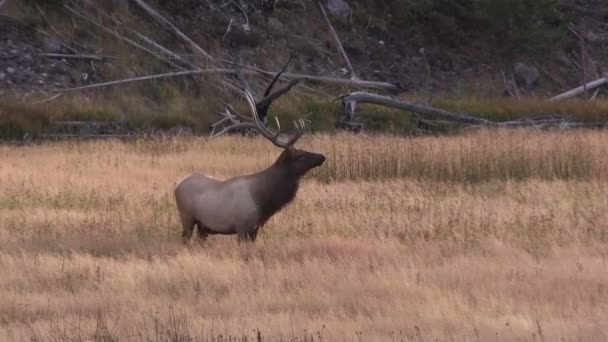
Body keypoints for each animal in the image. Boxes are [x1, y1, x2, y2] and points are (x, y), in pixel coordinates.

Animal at [173, 91, 326, 243]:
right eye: (301, 155)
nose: (322, 156)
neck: (264, 203)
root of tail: (177, 187)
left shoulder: (255, 229)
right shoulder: (242, 227)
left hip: (203, 227)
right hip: (187, 217)